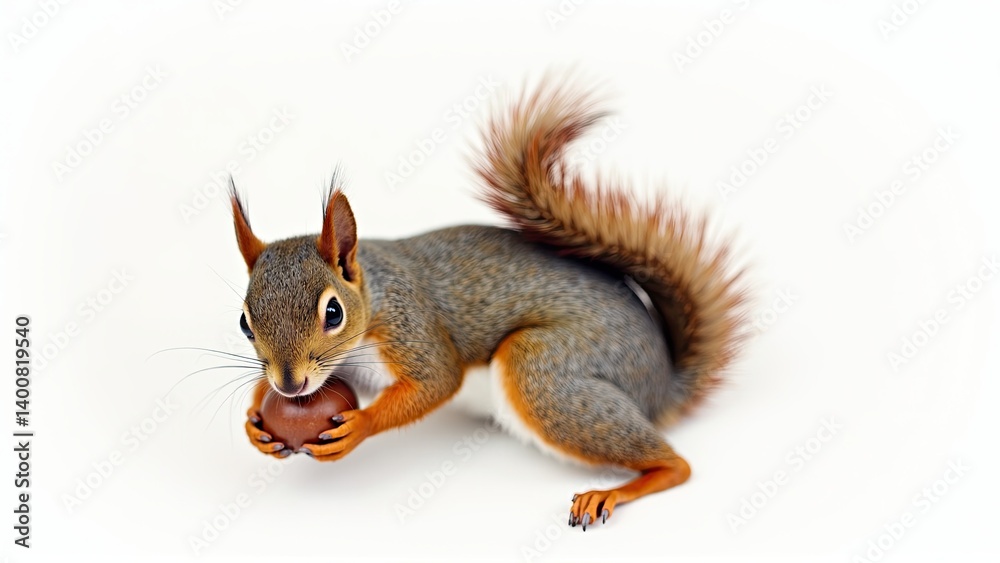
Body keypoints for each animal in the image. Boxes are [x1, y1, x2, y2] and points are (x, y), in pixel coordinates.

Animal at [230, 80, 747, 530]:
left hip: (543, 369)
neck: (372, 298)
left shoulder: (411, 324)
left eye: (333, 313)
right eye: (244, 323)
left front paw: (359, 426)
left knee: (675, 464)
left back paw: (618, 489)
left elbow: (437, 380)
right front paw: (255, 420)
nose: (290, 385)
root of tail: (660, 385)